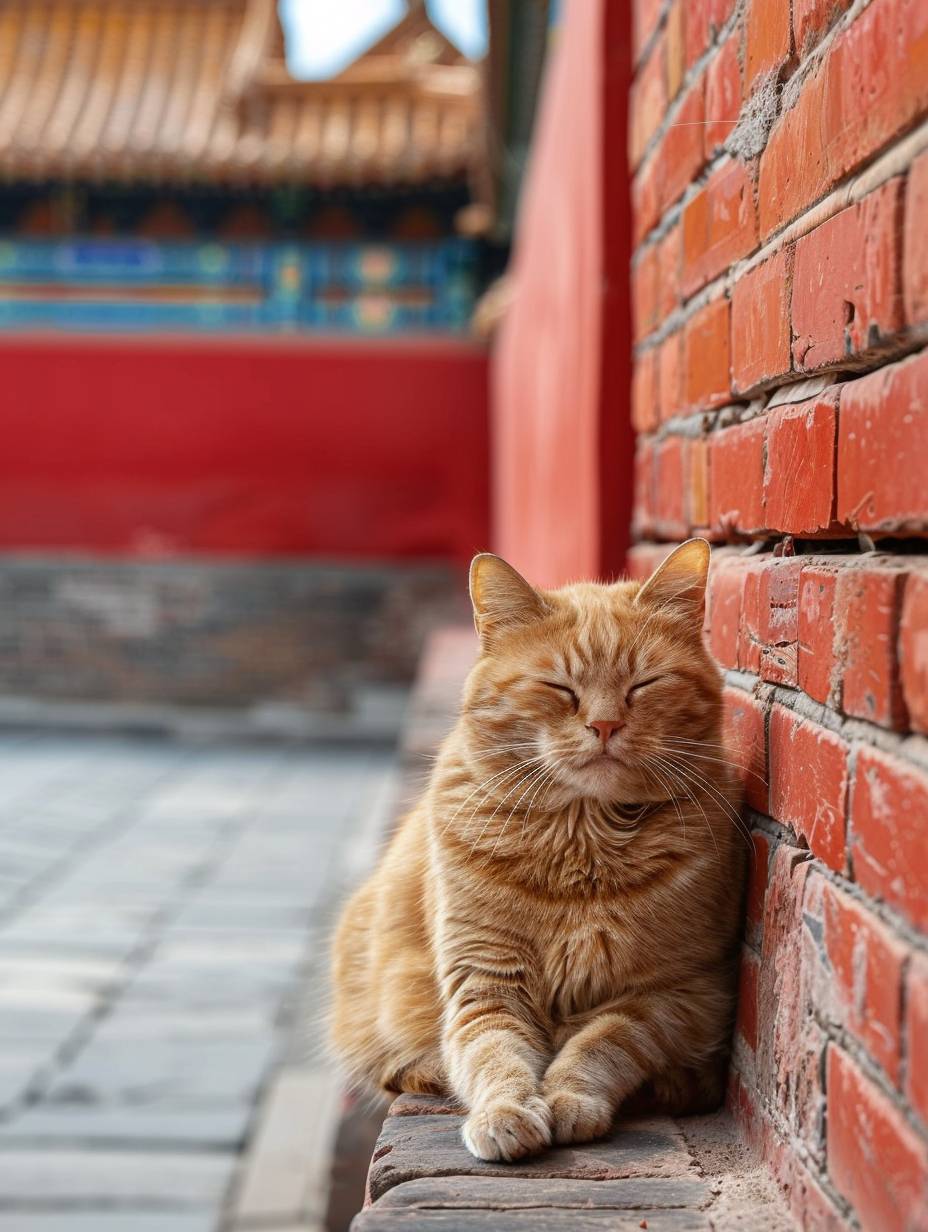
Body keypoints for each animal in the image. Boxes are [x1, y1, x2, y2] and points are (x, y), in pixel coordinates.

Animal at [330, 534, 744, 1158]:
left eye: (643, 685)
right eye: (559, 689)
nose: (604, 725)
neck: (583, 843)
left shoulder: (677, 992)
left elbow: (603, 1041)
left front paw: (570, 1096)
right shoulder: (485, 980)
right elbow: (494, 1054)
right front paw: (507, 1111)